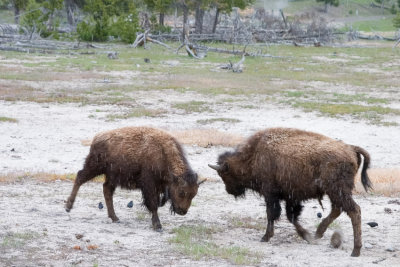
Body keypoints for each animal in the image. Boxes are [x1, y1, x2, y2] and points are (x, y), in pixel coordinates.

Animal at [67, 126, 203, 231]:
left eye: (194, 194)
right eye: (181, 192)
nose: (182, 211)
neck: (163, 153)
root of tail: (97, 138)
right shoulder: (149, 185)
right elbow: (153, 204)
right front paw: (157, 226)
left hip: (111, 176)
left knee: (106, 190)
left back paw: (115, 218)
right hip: (94, 167)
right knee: (80, 177)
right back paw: (68, 206)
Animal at [209, 127, 372, 258]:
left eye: (224, 174)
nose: (229, 191)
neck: (253, 155)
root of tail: (351, 148)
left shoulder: (271, 195)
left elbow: (272, 214)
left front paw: (265, 237)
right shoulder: (291, 198)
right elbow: (291, 216)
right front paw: (307, 236)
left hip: (338, 191)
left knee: (354, 211)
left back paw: (355, 251)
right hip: (335, 193)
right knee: (338, 209)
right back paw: (319, 233)